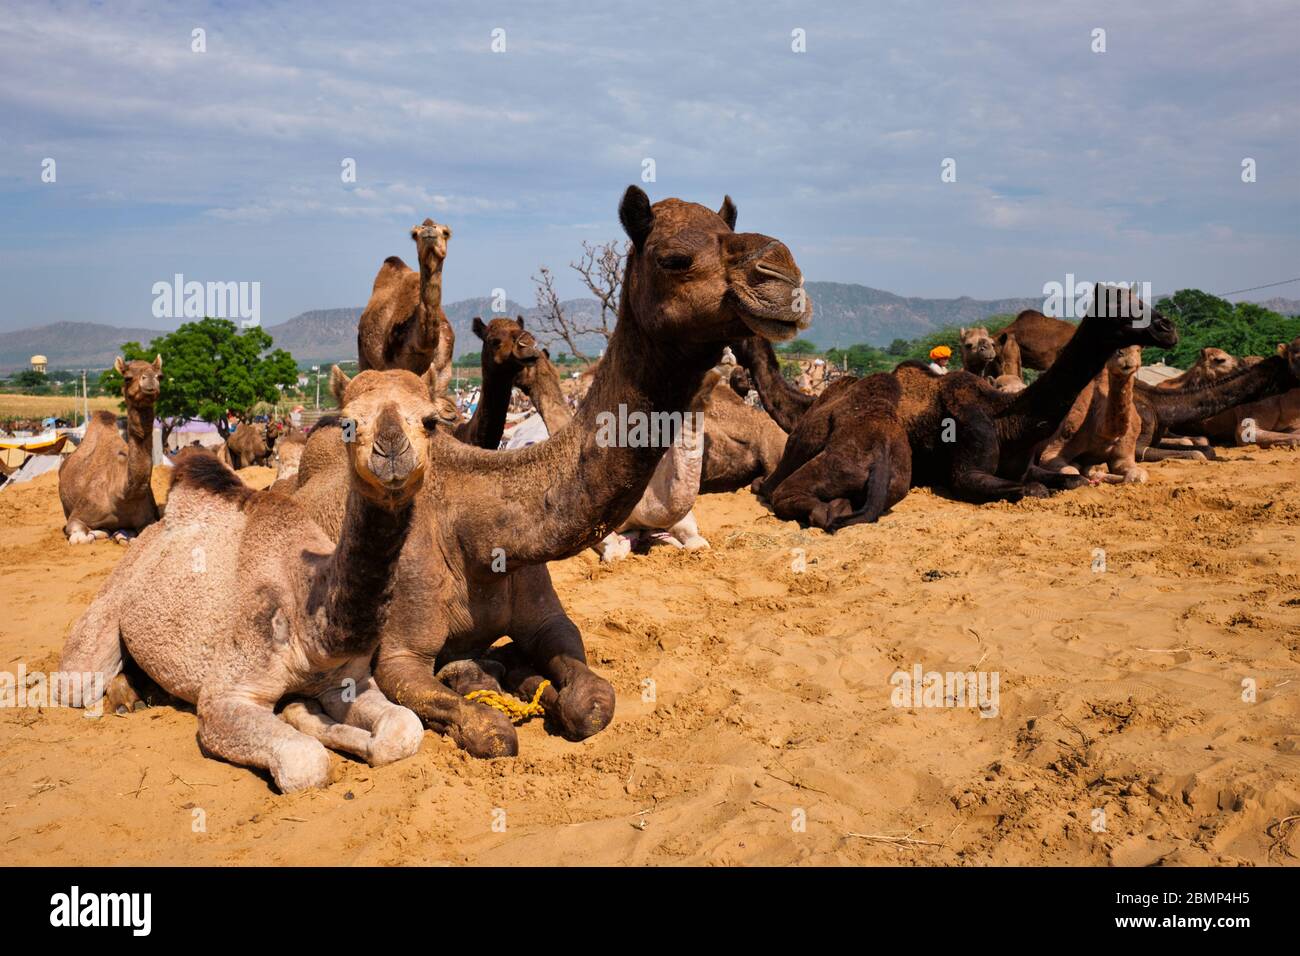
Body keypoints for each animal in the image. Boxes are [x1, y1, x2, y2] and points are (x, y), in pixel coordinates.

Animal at [59, 356, 162, 544]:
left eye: (160, 376)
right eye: (127, 377)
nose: (150, 379)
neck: (123, 493)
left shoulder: (148, 519)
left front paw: (121, 535)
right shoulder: (76, 517)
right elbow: (80, 538)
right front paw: (98, 533)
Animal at [356, 219, 455, 402]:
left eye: (445, 232)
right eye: (415, 234)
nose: (429, 229)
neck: (423, 347)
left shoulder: (443, 373)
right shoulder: (393, 366)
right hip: (364, 355)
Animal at [1033, 346, 1146, 484]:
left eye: (1139, 350)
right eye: (1113, 350)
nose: (1125, 355)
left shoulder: (1124, 455)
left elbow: (1138, 476)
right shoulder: (1053, 449)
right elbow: (1072, 471)